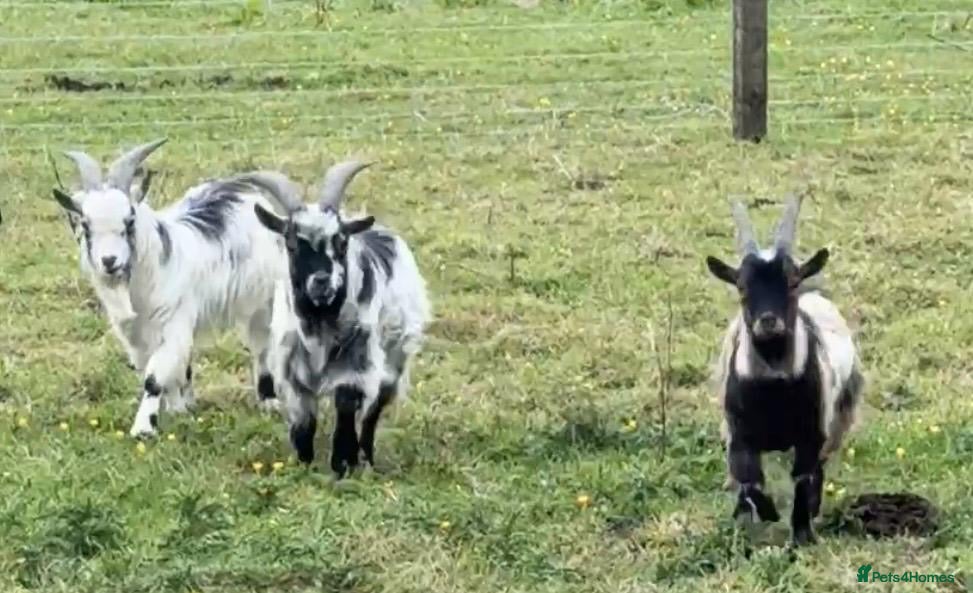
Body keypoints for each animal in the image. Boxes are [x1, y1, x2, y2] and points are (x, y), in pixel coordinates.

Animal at [51, 138, 289, 437]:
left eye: (129, 220)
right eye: (85, 223)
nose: (109, 261)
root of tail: (243, 189)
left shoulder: (173, 322)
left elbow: (154, 378)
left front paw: (144, 428)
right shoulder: (136, 336)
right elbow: (161, 372)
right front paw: (178, 410)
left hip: (262, 300)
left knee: (261, 346)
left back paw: (269, 400)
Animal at [236, 162, 430, 477]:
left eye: (341, 241)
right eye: (291, 242)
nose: (322, 281)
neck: (319, 326)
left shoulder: (355, 365)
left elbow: (347, 409)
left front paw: (343, 464)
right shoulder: (292, 371)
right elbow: (304, 422)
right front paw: (303, 462)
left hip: (395, 357)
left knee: (372, 412)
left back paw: (366, 457)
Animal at [705, 195, 864, 546]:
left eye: (791, 281)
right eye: (741, 287)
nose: (768, 322)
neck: (772, 385)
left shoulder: (811, 433)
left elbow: (804, 478)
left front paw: (802, 535)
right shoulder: (739, 435)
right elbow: (750, 480)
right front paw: (762, 514)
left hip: (839, 417)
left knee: (819, 469)